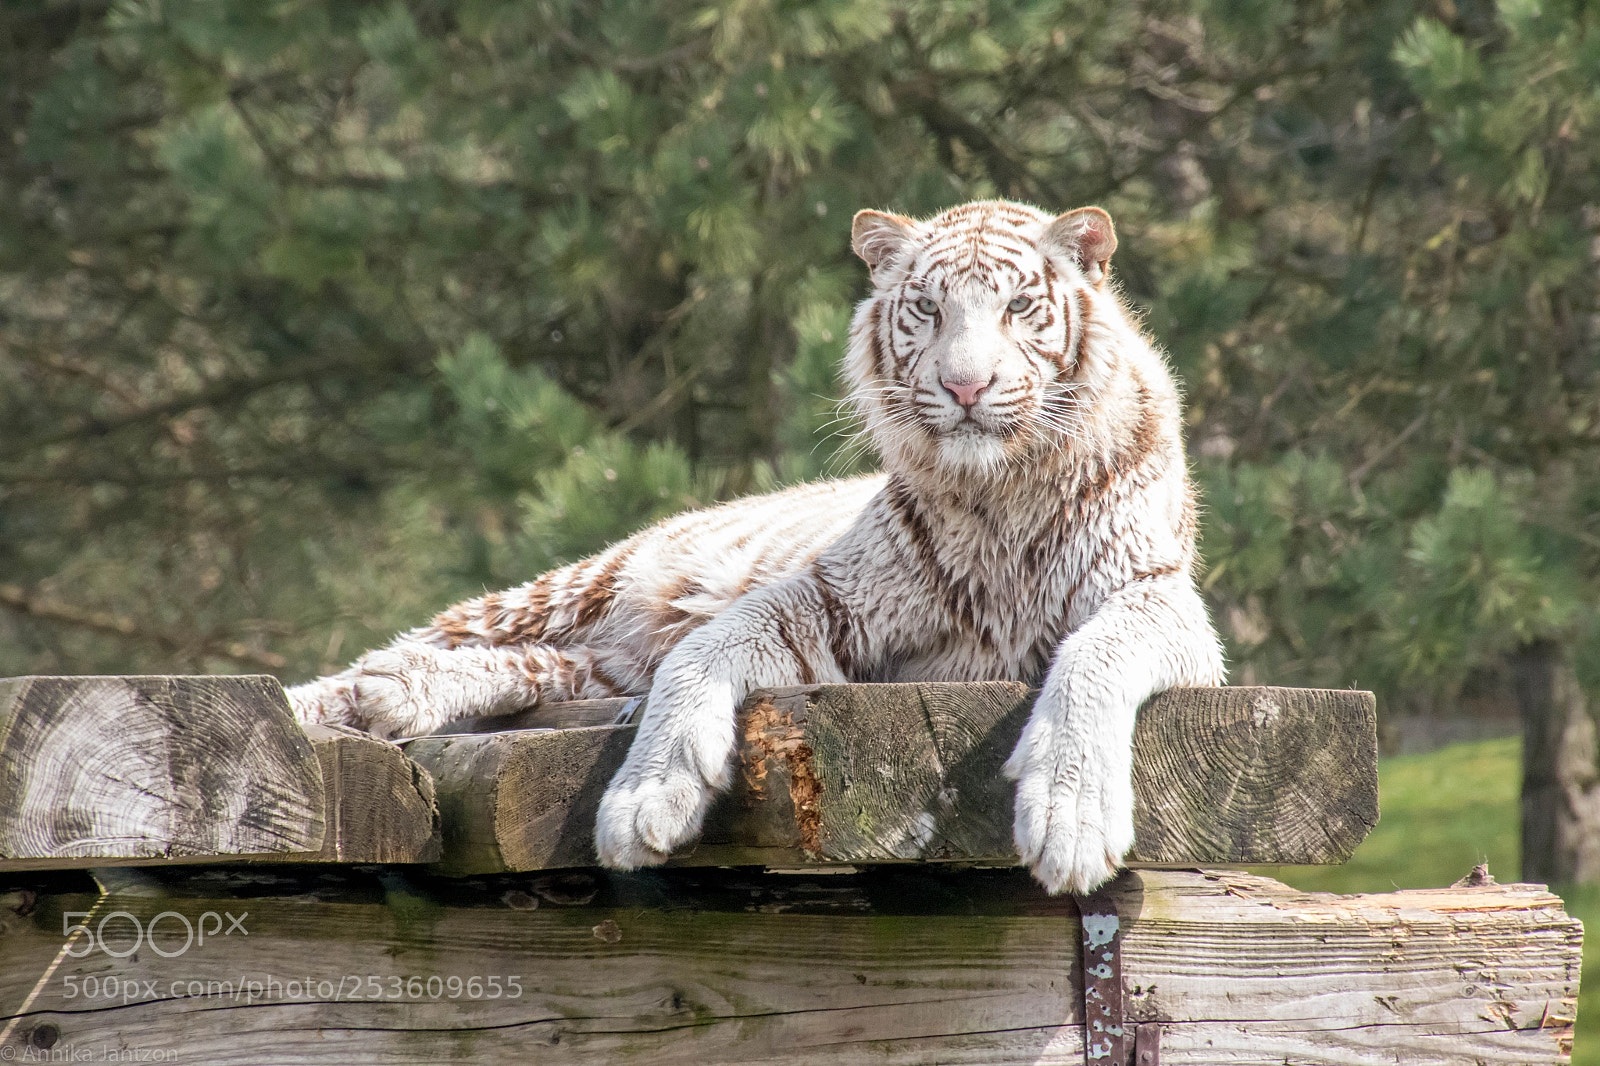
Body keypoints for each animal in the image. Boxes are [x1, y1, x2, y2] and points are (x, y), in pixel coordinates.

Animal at [287, 198, 1226, 894]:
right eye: (928, 309)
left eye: (1018, 307)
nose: (965, 386)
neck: (999, 496)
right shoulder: (827, 597)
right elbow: (702, 650)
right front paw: (646, 799)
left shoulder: (1158, 600)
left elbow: (1094, 659)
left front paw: (1071, 822)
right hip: (582, 585)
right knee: (434, 642)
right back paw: (349, 696)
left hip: (593, 664)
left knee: (532, 669)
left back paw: (394, 696)